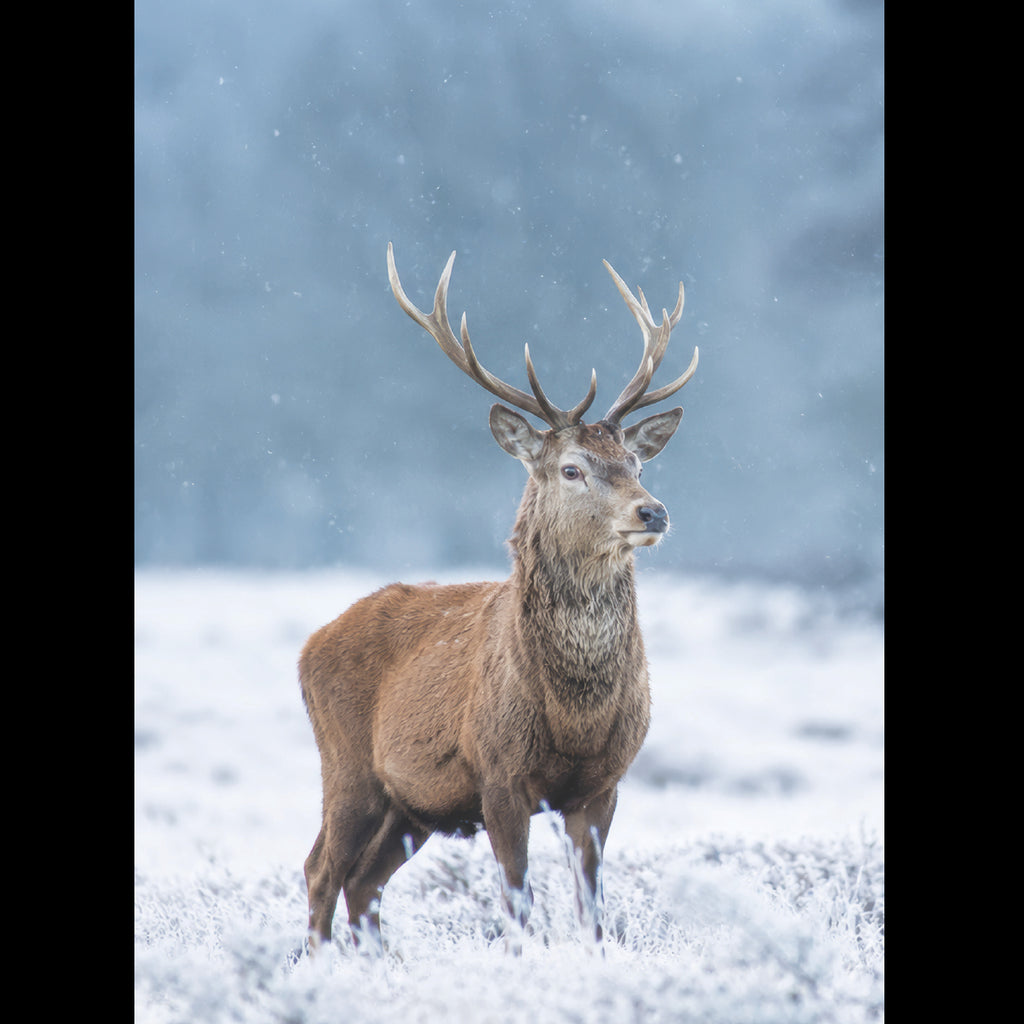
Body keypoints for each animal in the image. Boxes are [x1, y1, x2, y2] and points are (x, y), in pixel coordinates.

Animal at [299, 242, 698, 956]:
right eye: (572, 469)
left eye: (637, 464)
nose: (652, 511)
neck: (574, 716)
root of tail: (309, 646)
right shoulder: (499, 774)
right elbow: (517, 900)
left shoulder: (602, 784)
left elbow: (592, 908)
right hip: (346, 767)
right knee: (320, 871)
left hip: (411, 806)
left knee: (363, 884)